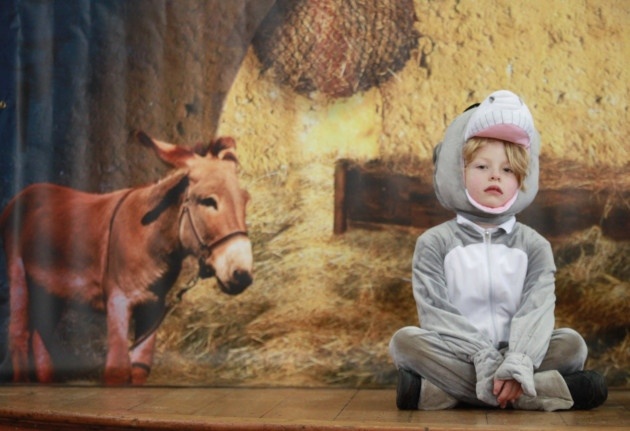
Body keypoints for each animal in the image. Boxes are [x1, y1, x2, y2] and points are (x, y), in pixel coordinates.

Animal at [0, 131, 253, 385]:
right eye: (208, 201)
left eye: (245, 200)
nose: (242, 276)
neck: (150, 237)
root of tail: (27, 191)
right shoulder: (118, 301)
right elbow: (117, 368)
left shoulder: (152, 308)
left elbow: (140, 366)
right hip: (19, 276)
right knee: (18, 337)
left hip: (51, 289)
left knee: (39, 339)